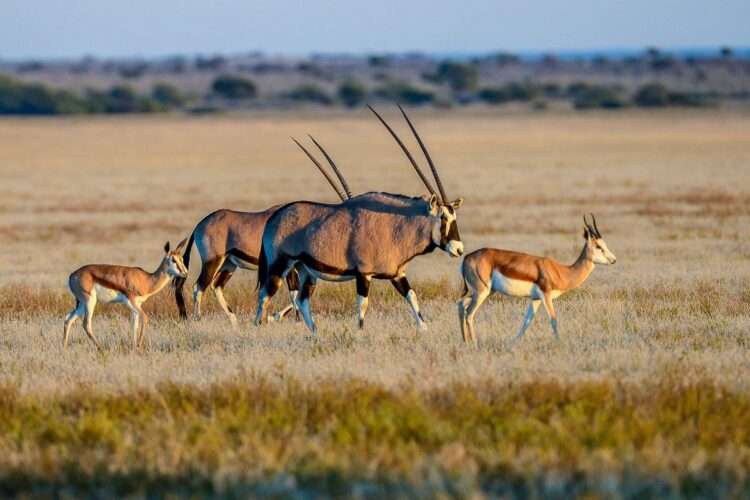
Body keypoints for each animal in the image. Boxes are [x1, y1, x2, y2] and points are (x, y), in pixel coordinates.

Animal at [458, 215, 616, 348]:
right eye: (598, 246)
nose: (613, 260)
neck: (561, 271)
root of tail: (467, 257)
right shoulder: (546, 296)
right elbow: (553, 319)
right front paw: (559, 343)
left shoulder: (535, 299)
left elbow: (527, 321)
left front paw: (512, 343)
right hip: (482, 292)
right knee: (469, 313)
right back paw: (475, 343)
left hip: (486, 292)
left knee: (460, 304)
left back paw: (465, 342)